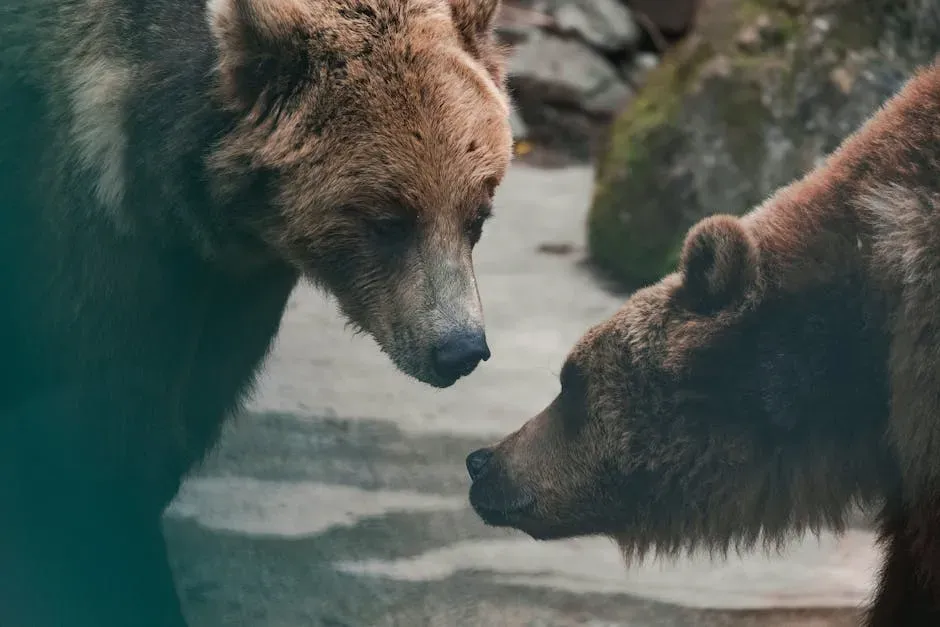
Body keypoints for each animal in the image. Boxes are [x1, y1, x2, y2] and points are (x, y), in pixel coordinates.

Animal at [0, 0, 512, 624]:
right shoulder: (88, 226)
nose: (459, 349)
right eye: (388, 220)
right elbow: (93, 423)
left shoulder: (235, 284)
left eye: (477, 214)